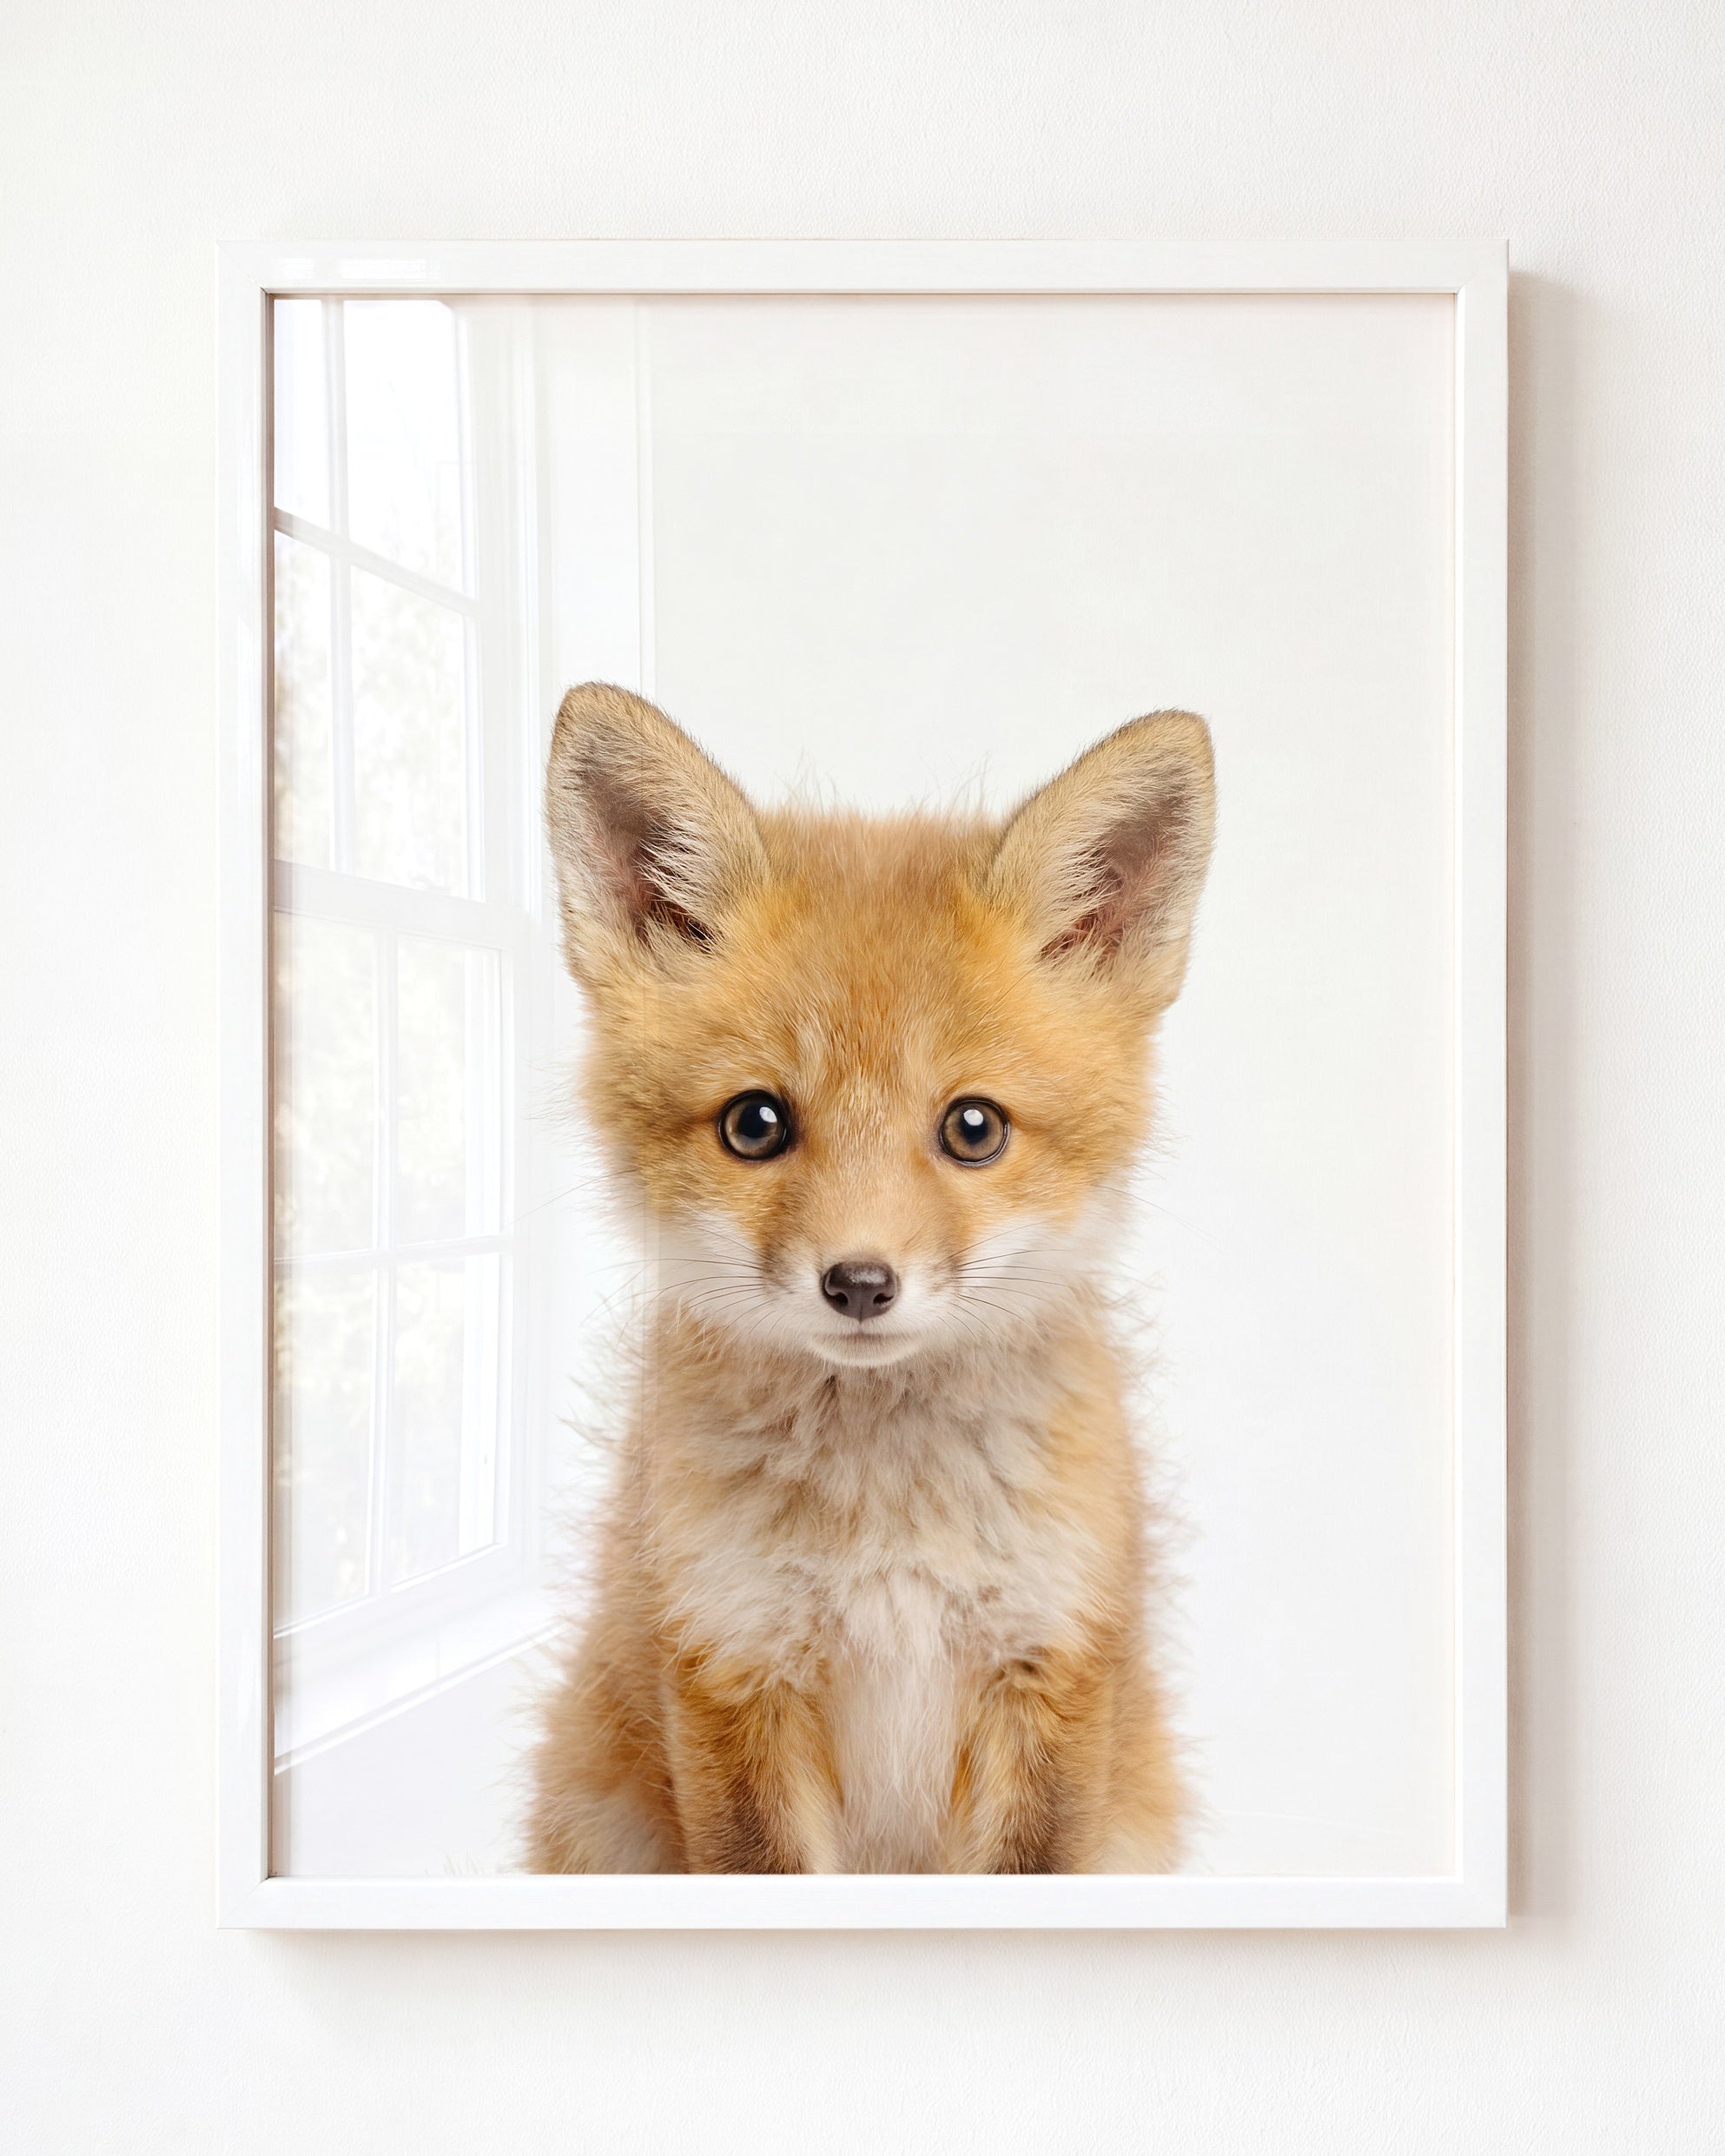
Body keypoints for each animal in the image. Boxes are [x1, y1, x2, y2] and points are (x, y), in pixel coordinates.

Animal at [523, 682, 1215, 1874]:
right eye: (755, 1124)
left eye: (974, 1128)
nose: (858, 1283)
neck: (888, 1532)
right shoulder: (731, 1664)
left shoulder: (1050, 1668)